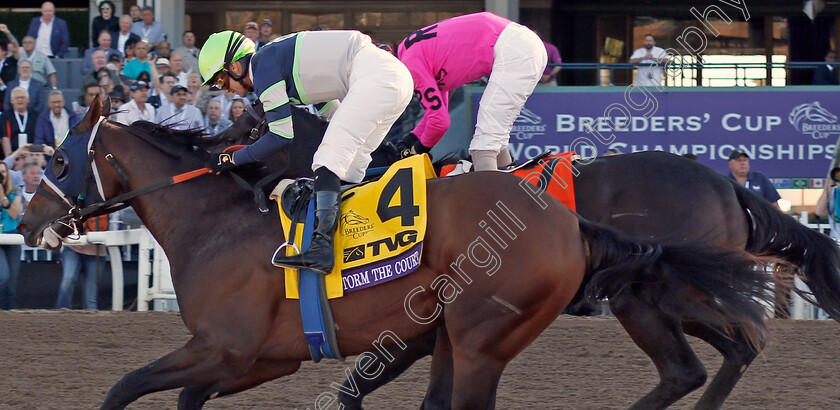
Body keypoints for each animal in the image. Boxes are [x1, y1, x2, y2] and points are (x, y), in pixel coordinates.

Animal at [19, 97, 780, 408]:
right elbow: (185, 397)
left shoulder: (224, 347)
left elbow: (124, 387)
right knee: (717, 355)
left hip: (496, 332)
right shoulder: (261, 357)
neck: (217, 222)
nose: (27, 222)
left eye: (56, 158)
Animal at [212, 103, 840, 410]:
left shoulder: (417, 325)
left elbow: (358, 382)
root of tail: (727, 184)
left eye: (244, 125)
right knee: (725, 353)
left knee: (717, 354)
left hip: (651, 295)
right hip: (669, 295)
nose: (210, 149)